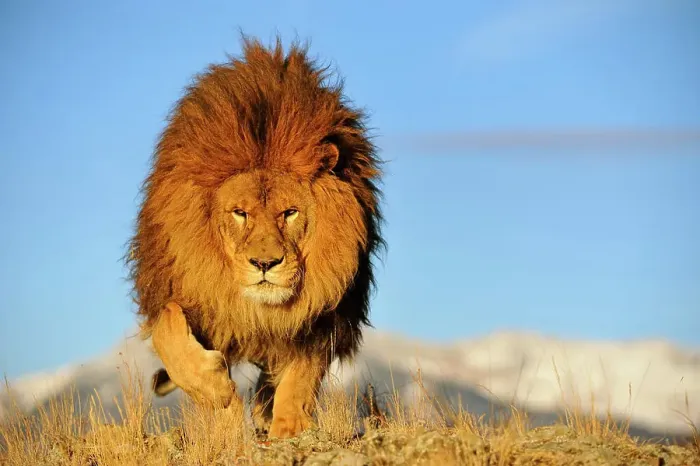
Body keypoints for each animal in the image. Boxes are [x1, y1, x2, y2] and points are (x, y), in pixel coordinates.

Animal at [126, 37, 384, 439]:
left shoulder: (326, 313)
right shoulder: (180, 289)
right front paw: (218, 392)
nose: (265, 263)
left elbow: (302, 373)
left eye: (289, 213)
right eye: (240, 213)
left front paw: (289, 427)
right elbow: (169, 333)